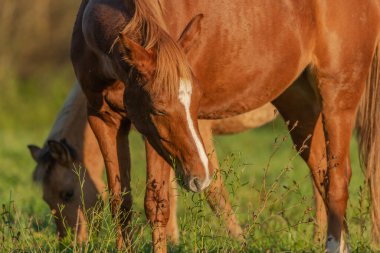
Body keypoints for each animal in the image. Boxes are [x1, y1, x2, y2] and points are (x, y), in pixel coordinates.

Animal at [70, 0, 380, 252]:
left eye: (197, 102)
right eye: (158, 109)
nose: (200, 177)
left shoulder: (150, 134)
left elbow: (157, 204)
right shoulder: (104, 120)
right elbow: (120, 203)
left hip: (338, 95)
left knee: (339, 180)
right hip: (300, 105)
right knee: (323, 175)